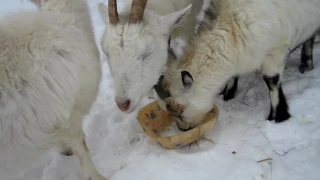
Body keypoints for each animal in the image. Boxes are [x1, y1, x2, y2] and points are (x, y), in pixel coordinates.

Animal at [155, 0, 320, 130]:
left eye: (180, 111)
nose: (183, 129)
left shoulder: (275, 50)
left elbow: (272, 81)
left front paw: (276, 116)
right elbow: (233, 76)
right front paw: (227, 94)